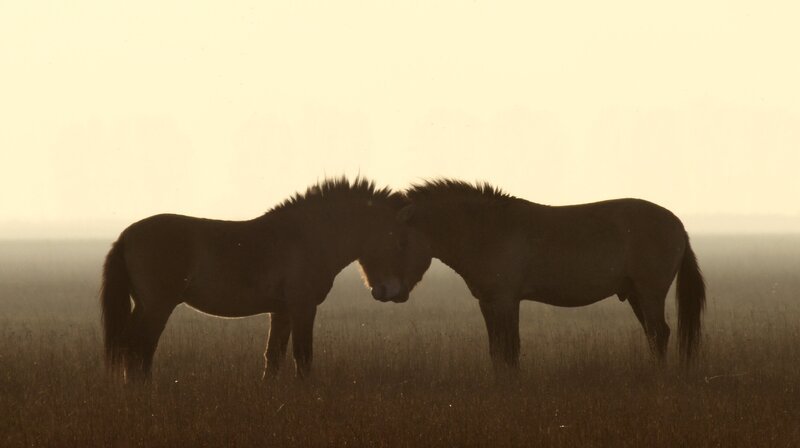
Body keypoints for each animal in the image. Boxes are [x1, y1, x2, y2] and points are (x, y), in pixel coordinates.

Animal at [100, 177, 430, 382]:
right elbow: (303, 355)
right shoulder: (302, 307)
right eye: (402, 242)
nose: (394, 293)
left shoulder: (281, 311)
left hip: (144, 305)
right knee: (139, 347)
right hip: (158, 306)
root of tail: (127, 235)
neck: (308, 236)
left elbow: (274, 357)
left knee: (130, 346)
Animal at [389, 179, 706, 374]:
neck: (487, 229)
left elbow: (510, 348)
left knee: (659, 333)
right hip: (636, 295)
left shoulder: (506, 301)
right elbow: (496, 349)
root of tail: (679, 225)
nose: (392, 292)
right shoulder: (488, 302)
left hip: (650, 293)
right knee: (654, 334)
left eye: (400, 242)